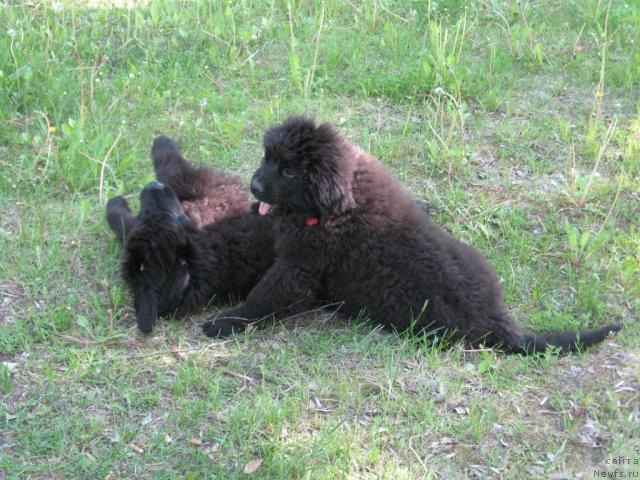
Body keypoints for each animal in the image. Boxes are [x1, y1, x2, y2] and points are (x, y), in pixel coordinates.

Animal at [105, 137, 276, 332]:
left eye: (145, 217)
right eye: (168, 218)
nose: (153, 186)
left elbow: (121, 224)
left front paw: (114, 203)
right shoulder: (209, 194)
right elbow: (174, 169)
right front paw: (162, 142)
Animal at [202, 115, 624, 356]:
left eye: (289, 171)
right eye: (267, 158)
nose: (255, 186)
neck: (328, 207)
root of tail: (497, 322)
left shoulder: (299, 267)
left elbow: (265, 297)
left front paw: (225, 322)